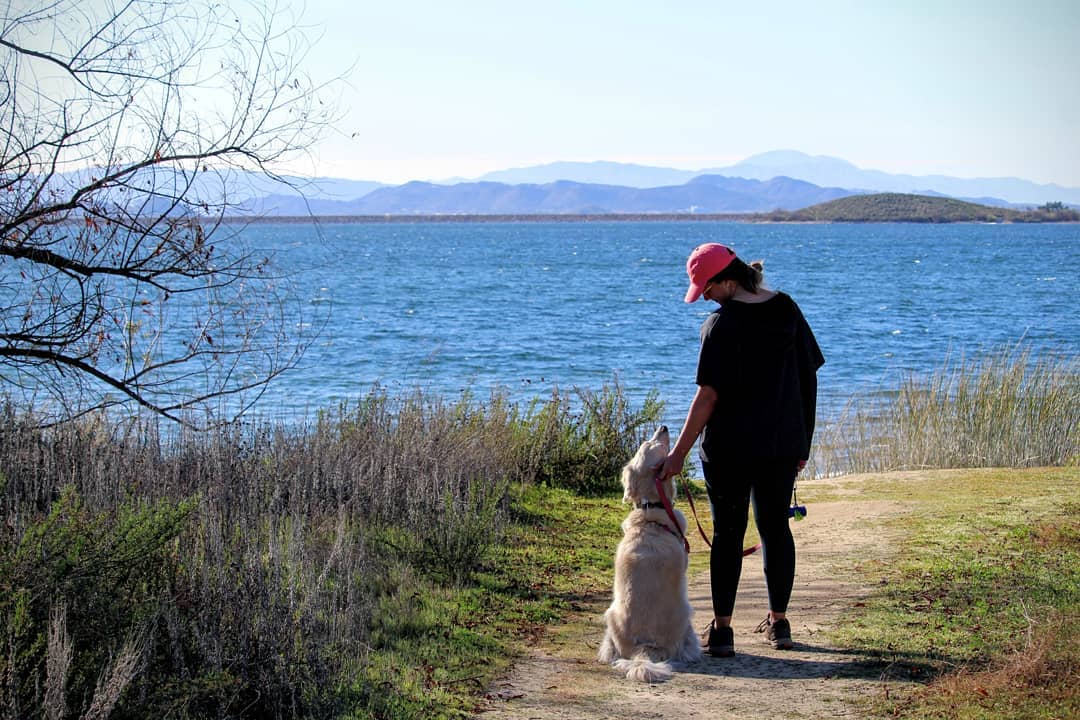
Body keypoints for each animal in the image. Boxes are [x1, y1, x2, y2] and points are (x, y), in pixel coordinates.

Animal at [596, 425, 704, 686]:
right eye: (650, 443)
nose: (663, 427)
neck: (651, 510)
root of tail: (645, 648)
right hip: (687, 614)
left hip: (610, 614)